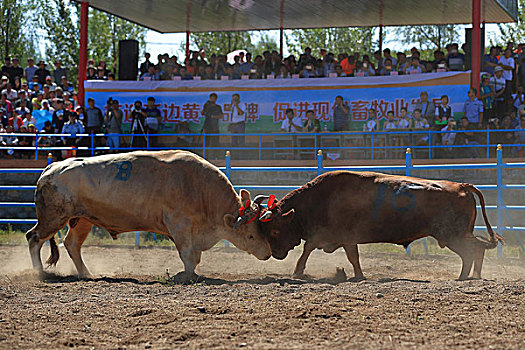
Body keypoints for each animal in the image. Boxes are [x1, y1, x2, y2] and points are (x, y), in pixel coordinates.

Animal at [25, 150, 270, 282]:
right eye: (250, 236)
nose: (267, 253)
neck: (198, 188)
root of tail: (52, 168)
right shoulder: (180, 227)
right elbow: (188, 255)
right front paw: (187, 276)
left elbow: (195, 256)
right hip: (54, 217)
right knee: (34, 237)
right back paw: (39, 272)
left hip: (82, 220)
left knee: (72, 244)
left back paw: (87, 274)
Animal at [260, 171, 502, 280]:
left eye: (275, 230)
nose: (276, 254)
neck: (321, 198)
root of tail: (461, 186)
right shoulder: (343, 239)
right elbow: (350, 256)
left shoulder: (335, 236)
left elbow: (310, 249)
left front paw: (298, 271)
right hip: (458, 234)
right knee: (478, 248)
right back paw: (473, 276)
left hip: (453, 235)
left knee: (472, 250)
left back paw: (463, 277)